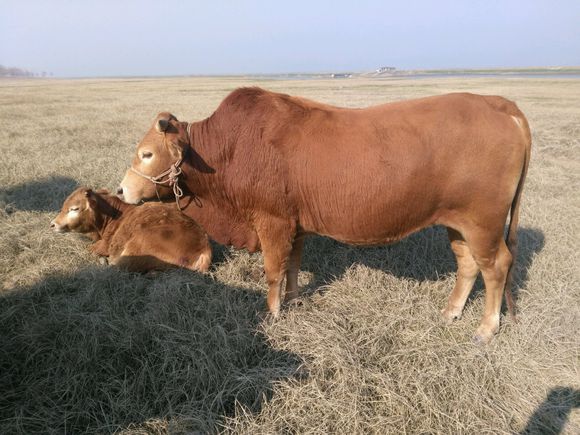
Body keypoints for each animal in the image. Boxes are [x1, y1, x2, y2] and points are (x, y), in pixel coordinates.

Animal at [51, 187, 211, 273]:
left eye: (74, 209)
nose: (52, 224)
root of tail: (204, 248)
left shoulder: (104, 245)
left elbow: (92, 249)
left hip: (135, 248)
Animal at [117, 87, 531, 343]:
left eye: (147, 154)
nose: (122, 190)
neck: (230, 149)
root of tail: (498, 104)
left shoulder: (271, 221)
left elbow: (273, 271)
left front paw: (272, 313)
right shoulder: (295, 224)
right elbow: (294, 265)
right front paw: (295, 299)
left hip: (483, 223)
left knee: (496, 266)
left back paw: (486, 328)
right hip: (458, 224)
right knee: (468, 264)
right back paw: (451, 312)